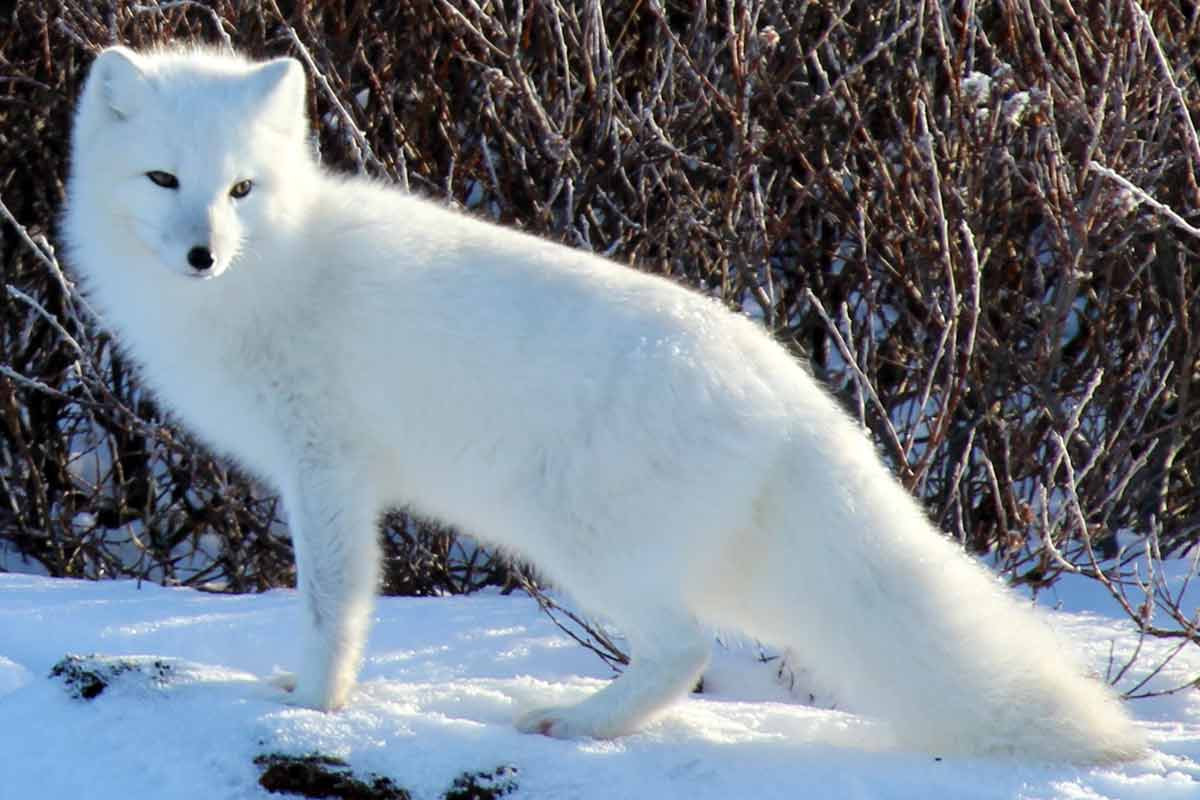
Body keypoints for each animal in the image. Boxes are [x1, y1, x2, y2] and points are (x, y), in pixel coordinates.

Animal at [63, 45, 1142, 762]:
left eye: (241, 189)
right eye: (164, 178)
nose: (203, 254)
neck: (272, 272)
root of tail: (791, 387)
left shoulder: (327, 470)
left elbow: (334, 605)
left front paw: (316, 706)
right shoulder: (330, 477)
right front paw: (298, 689)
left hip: (582, 543)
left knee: (683, 650)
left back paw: (574, 722)